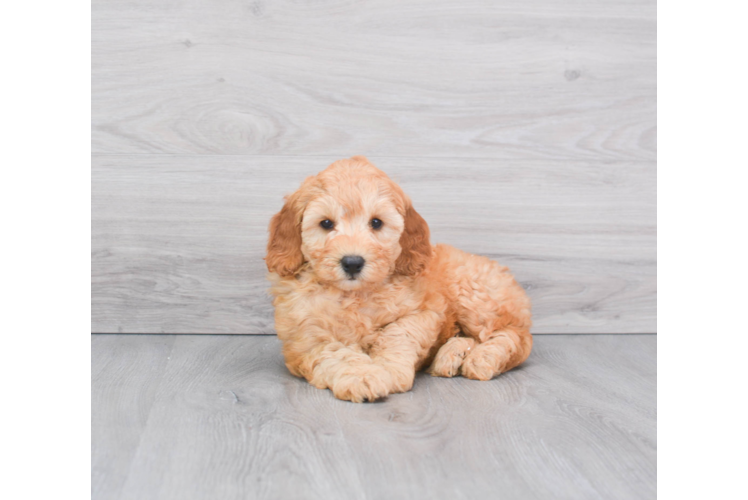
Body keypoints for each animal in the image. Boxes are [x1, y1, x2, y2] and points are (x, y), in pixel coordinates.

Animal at [264, 156, 532, 402]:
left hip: (473, 293)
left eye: (376, 223)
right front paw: (362, 376)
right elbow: (336, 352)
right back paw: (450, 356)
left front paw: (388, 371)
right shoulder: (306, 337)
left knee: (515, 336)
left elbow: (398, 334)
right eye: (326, 223)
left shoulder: (423, 311)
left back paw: (482, 358)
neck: (355, 295)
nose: (352, 262)